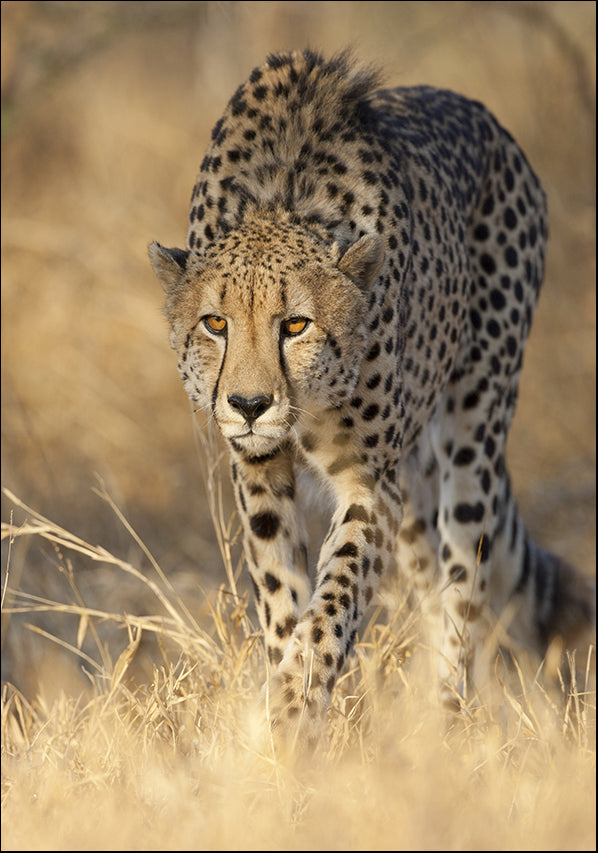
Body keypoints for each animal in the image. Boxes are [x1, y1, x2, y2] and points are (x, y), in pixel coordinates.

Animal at [149, 49, 594, 748]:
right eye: (215, 324)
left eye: (295, 324)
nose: (248, 404)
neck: (281, 198)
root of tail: (481, 114)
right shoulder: (259, 471)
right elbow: (283, 594)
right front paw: (285, 716)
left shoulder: (370, 482)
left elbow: (335, 596)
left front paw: (296, 706)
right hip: (415, 485)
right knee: (431, 582)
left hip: (474, 425)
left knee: (463, 583)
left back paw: (448, 720)